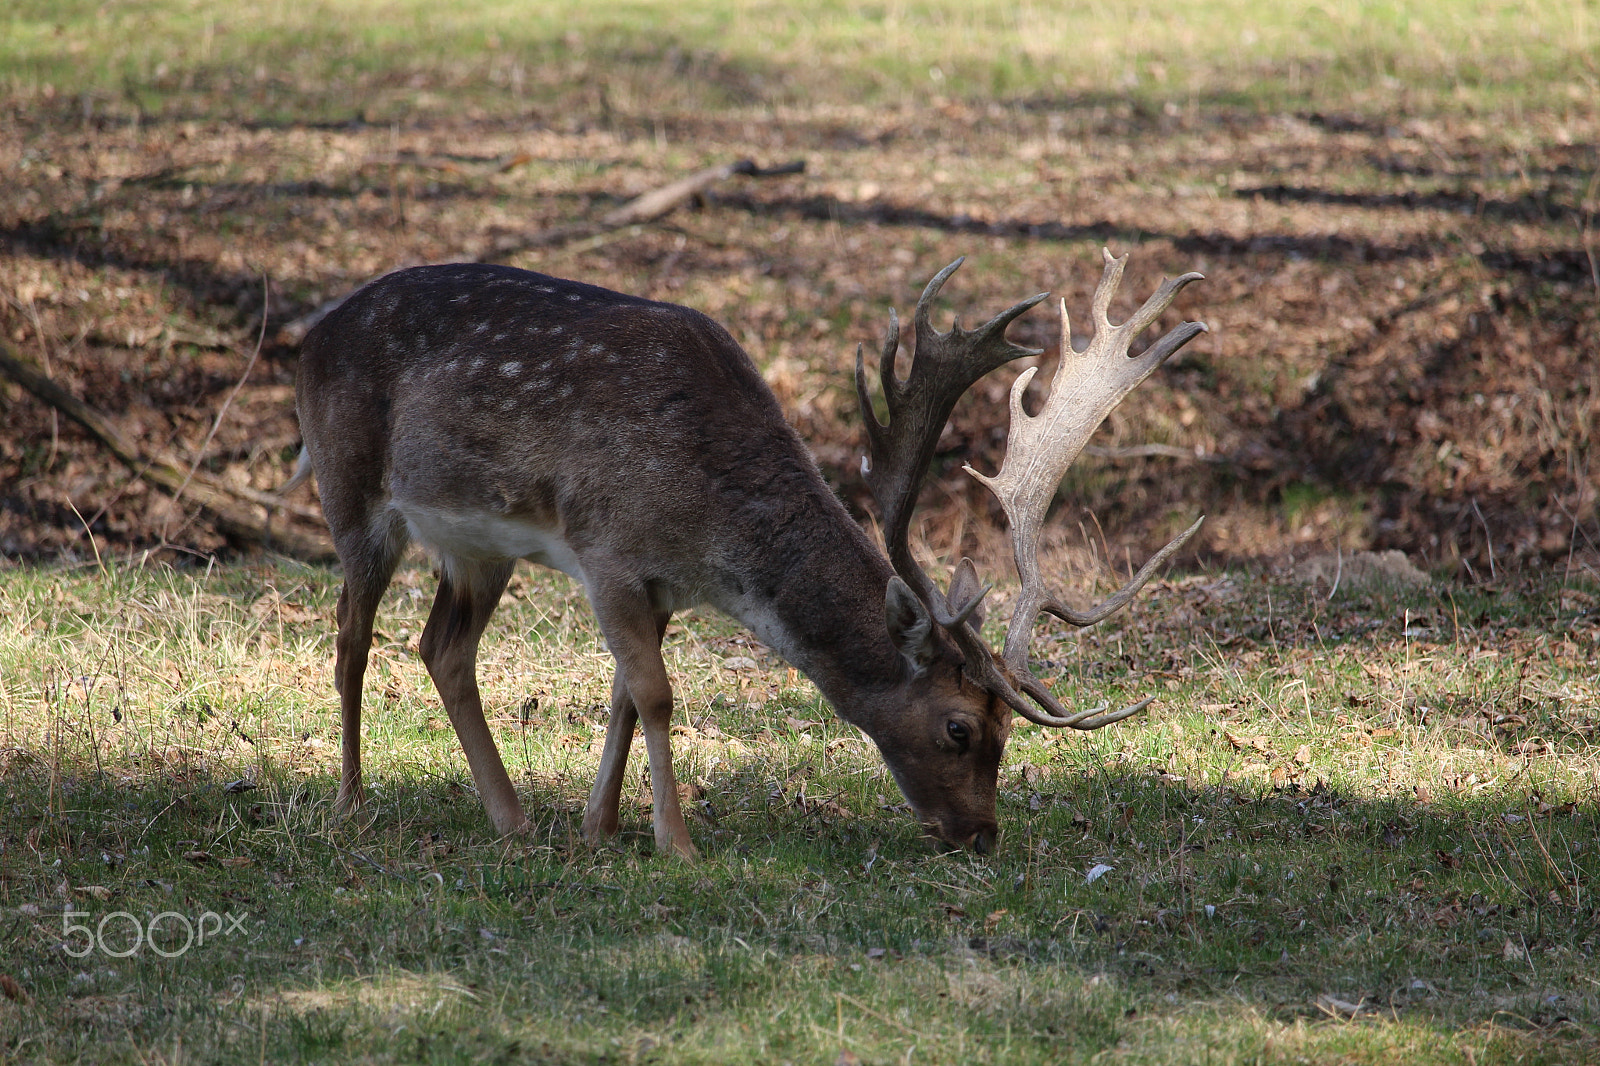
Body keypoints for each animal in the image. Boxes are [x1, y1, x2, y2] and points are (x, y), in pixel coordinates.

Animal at [290, 249, 1206, 860]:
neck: (708, 528)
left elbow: (624, 696)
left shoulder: (658, 585)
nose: (981, 835)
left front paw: (600, 825)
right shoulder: (606, 547)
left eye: (1007, 731)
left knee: (441, 647)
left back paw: (510, 816)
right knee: (350, 639)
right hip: (350, 487)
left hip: (476, 546)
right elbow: (657, 695)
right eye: (958, 729)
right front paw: (677, 842)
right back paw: (350, 800)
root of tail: (307, 337)